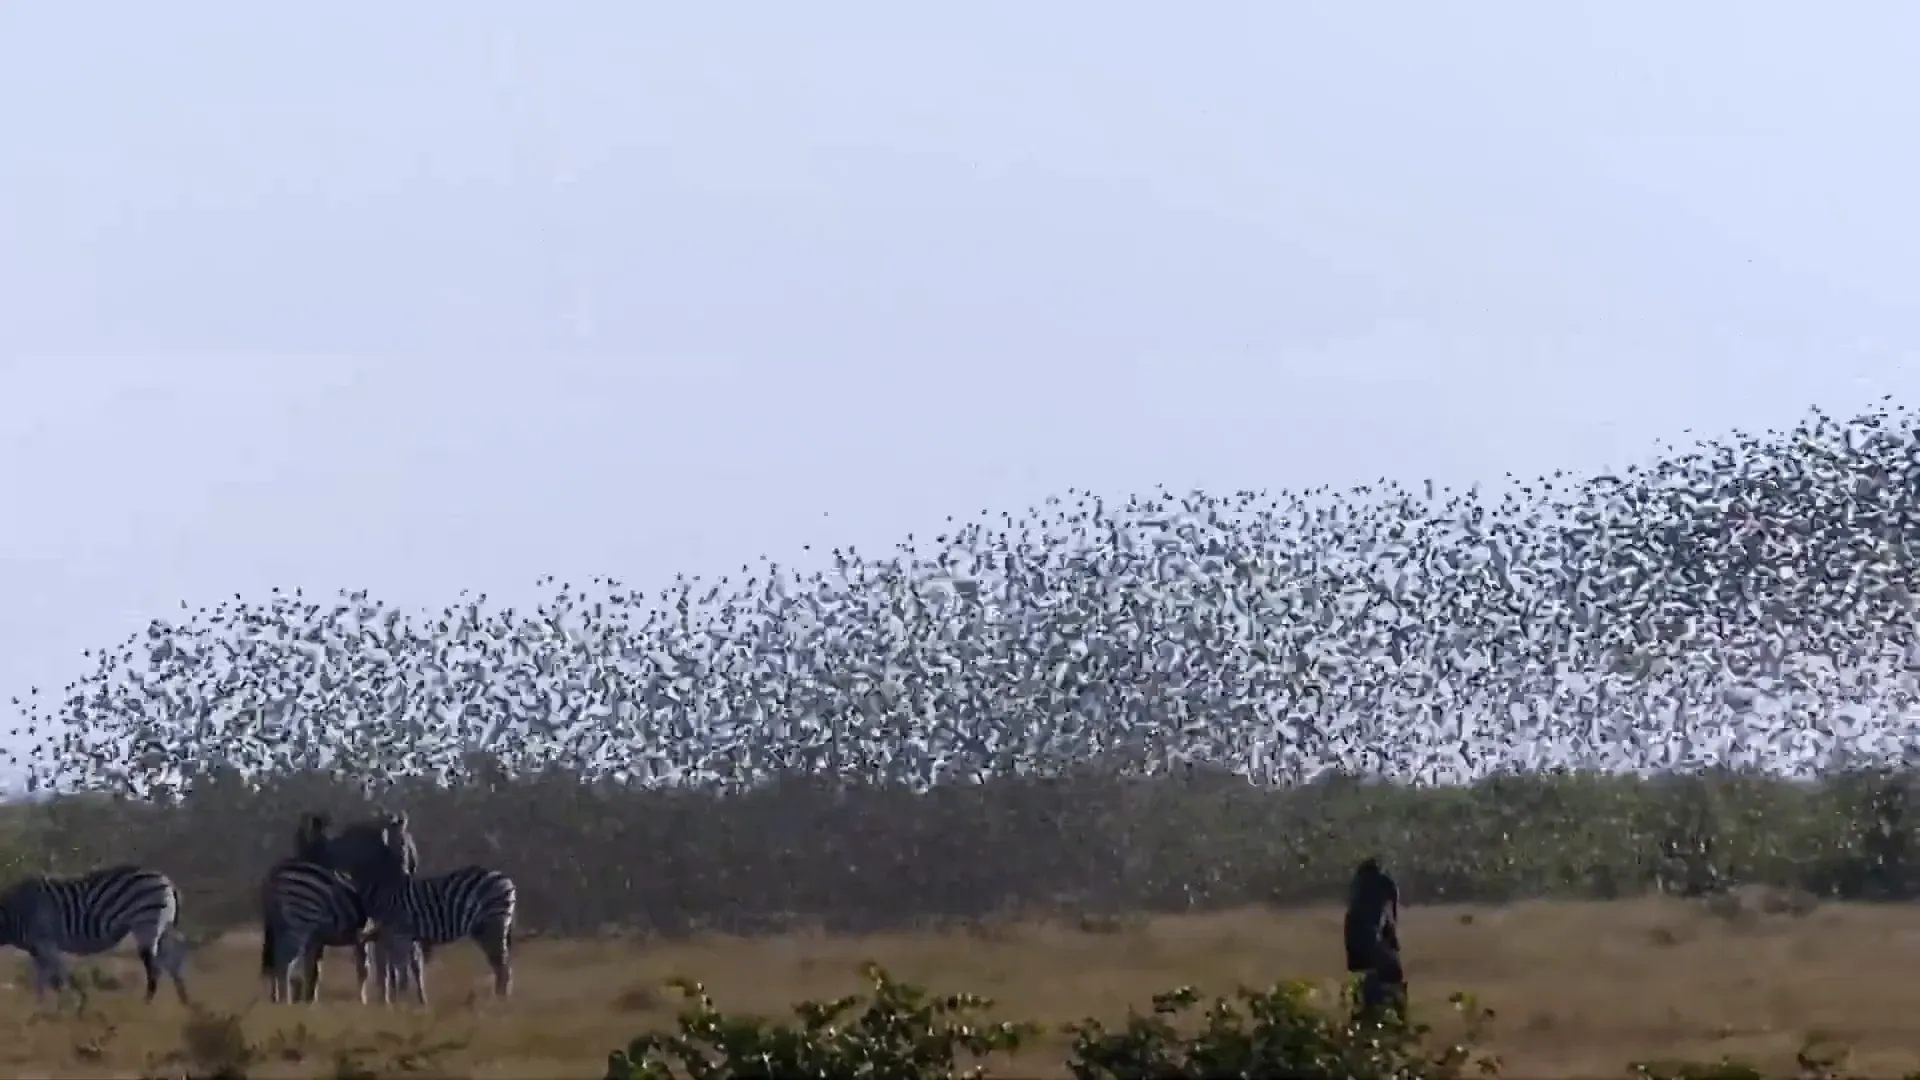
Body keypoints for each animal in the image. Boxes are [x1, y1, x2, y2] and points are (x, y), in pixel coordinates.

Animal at [0, 865, 191, 1003]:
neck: (13, 913)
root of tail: (166, 880)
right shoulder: (36, 949)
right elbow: (40, 980)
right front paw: (40, 1007)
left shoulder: (45, 942)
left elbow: (59, 974)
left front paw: (72, 1003)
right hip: (162, 928)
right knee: (172, 961)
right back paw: (183, 1002)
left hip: (147, 924)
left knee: (155, 965)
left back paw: (147, 1004)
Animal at [357, 811, 515, 1005]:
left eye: (405, 843)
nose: (403, 868)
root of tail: (505, 879)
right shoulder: (396, 935)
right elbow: (399, 966)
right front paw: (398, 1000)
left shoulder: (398, 933)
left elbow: (399, 967)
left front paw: (400, 1001)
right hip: (484, 928)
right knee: (500, 965)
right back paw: (499, 1000)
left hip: (494, 923)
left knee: (503, 966)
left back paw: (500, 1003)